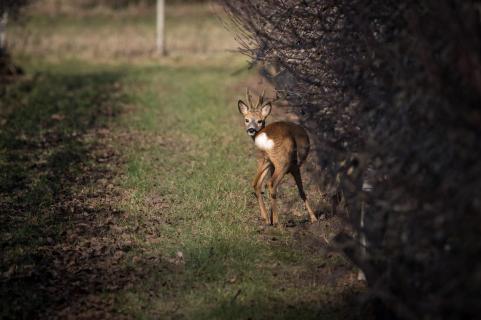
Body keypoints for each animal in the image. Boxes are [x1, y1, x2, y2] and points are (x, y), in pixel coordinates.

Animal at [237, 88, 318, 225]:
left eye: (260, 120)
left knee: (257, 183)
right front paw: (313, 218)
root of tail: (264, 137)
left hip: (266, 159)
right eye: (246, 119)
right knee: (271, 183)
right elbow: (301, 190)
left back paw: (266, 219)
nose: (251, 129)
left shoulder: (270, 164)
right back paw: (277, 222)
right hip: (283, 161)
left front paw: (269, 216)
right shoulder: (294, 166)